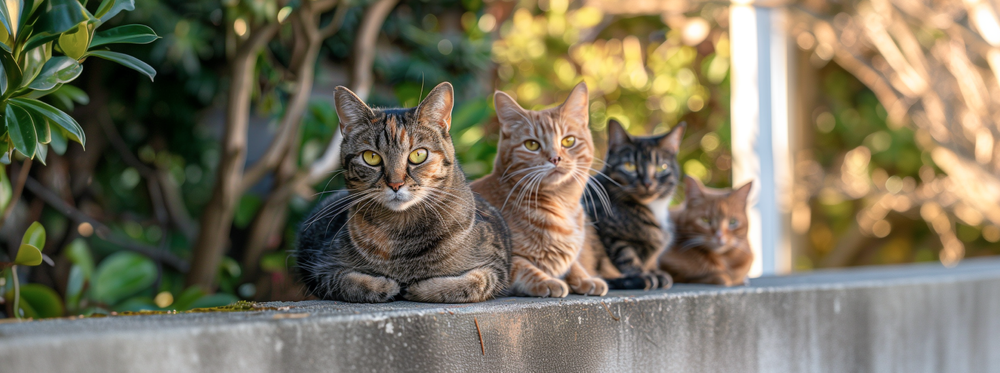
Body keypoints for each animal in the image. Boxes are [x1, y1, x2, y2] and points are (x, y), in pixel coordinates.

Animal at [294, 82, 516, 302]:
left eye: (418, 155)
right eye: (371, 157)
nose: (395, 184)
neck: (403, 233)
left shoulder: (495, 267)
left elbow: (470, 284)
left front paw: (418, 287)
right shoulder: (321, 268)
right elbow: (349, 282)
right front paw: (386, 285)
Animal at [470, 81, 608, 296]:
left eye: (568, 141)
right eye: (532, 145)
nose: (555, 158)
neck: (562, 205)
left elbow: (574, 265)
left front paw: (585, 278)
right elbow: (525, 267)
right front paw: (549, 281)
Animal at [584, 119, 684, 290]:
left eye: (662, 167)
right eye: (630, 166)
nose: (647, 183)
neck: (654, 209)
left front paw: (654, 272)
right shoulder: (611, 235)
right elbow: (627, 256)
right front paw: (643, 275)